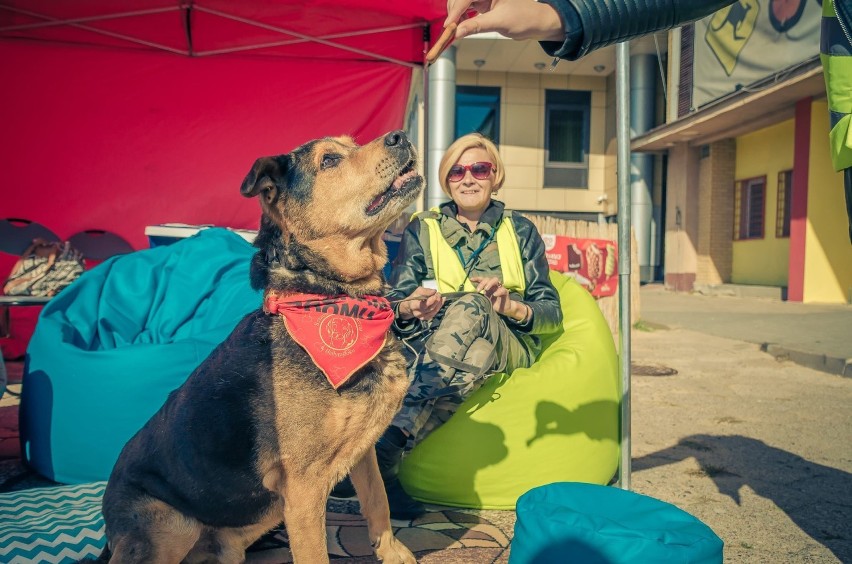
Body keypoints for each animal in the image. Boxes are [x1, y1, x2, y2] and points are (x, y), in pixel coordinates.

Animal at [103, 130, 422, 560]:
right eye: (329, 160)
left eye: (351, 144)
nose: (401, 136)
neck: (330, 298)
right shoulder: (304, 488)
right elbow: (316, 553)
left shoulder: (363, 450)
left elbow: (378, 499)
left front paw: (390, 551)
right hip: (172, 524)